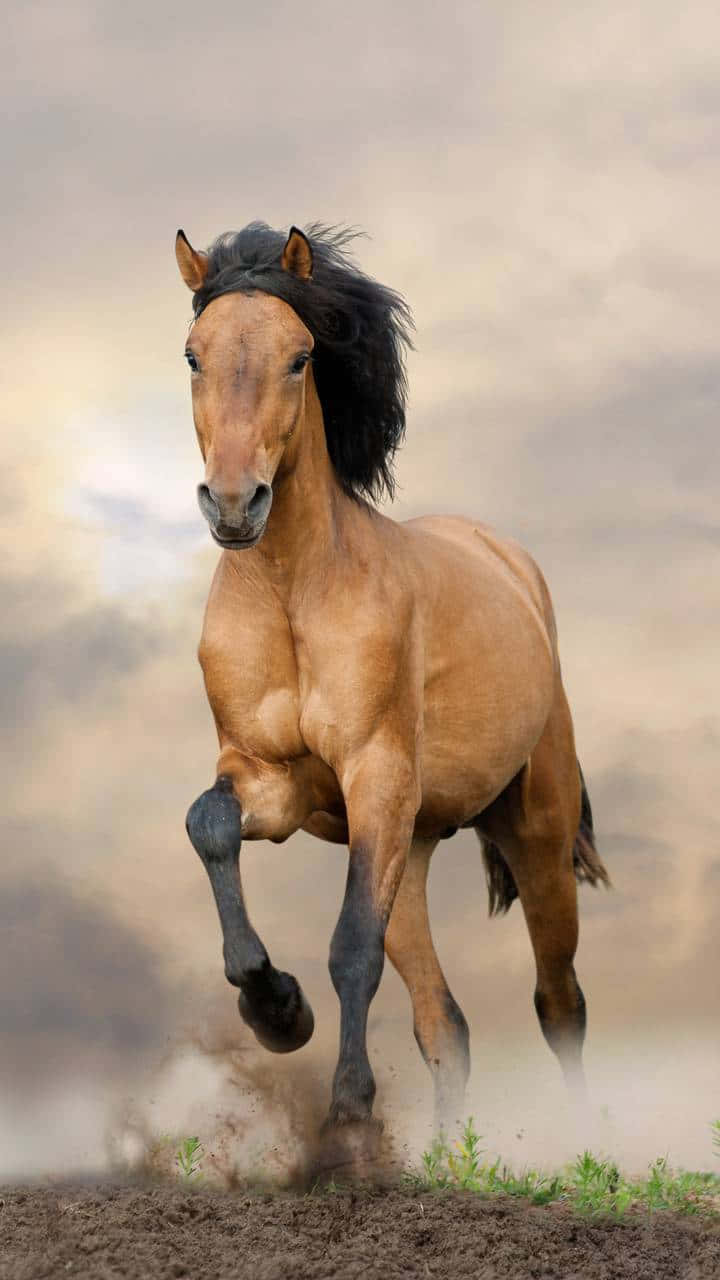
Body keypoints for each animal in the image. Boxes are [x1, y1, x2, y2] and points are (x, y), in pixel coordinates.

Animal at [175, 222, 609, 1141]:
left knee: (559, 1003)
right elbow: (210, 825)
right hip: (409, 847)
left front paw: (348, 1112)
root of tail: (509, 562)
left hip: (536, 835)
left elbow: (350, 951)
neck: (294, 595)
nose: (234, 505)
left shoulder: (374, 774)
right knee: (446, 1025)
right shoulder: (273, 783)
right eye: (194, 355)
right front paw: (275, 1009)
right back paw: (446, 1159)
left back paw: (589, 1143)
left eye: (301, 356)